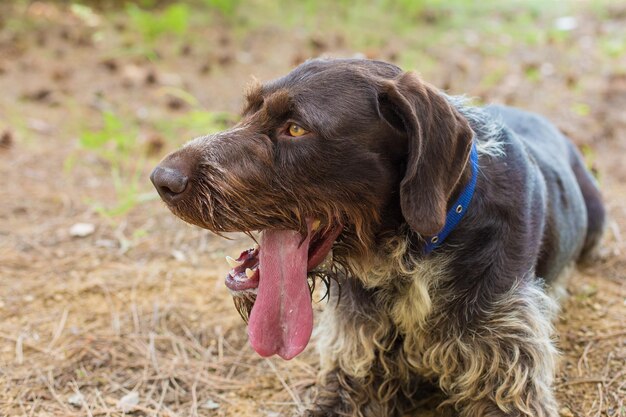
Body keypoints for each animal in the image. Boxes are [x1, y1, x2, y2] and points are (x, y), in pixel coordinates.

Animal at [149, 58, 604, 416]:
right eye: (247, 111)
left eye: (296, 129)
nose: (161, 180)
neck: (414, 256)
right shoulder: (354, 373)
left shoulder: (506, 379)